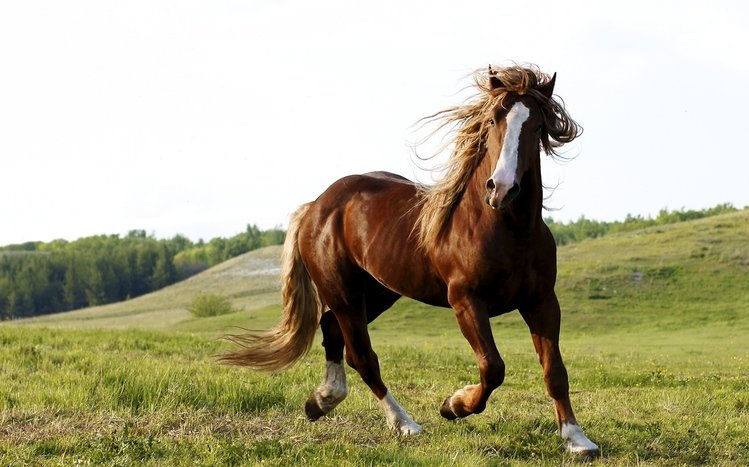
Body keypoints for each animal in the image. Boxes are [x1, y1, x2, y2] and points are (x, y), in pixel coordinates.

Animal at [221, 64, 600, 457]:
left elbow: (554, 371)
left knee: (332, 330)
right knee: (363, 356)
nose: (502, 189)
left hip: (377, 293)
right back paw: (405, 424)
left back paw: (321, 401)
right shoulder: (466, 301)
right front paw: (453, 405)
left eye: (538, 126)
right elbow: (492, 367)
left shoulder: (542, 301)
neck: (505, 228)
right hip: (344, 293)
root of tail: (317, 205)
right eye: (493, 119)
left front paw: (577, 439)